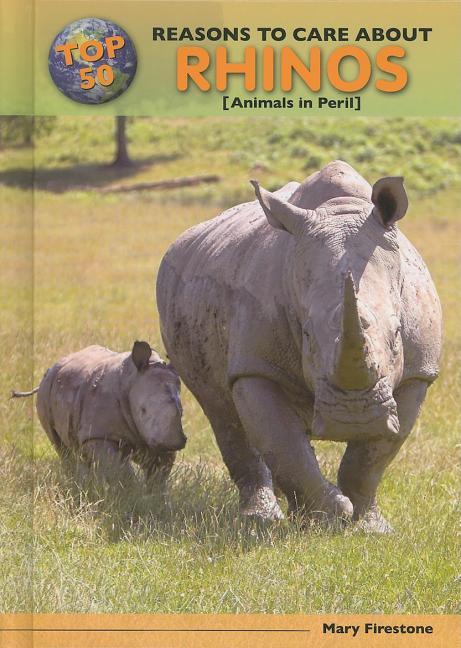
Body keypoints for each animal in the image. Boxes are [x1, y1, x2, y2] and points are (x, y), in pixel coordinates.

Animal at [12, 341, 185, 483]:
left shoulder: (157, 436)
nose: (175, 442)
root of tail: (54, 365)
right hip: (46, 389)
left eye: (182, 412)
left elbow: (159, 473)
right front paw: (130, 492)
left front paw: (152, 498)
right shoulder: (99, 433)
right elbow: (119, 469)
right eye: (143, 410)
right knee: (62, 448)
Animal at [156, 160, 442, 532]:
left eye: (397, 334)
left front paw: (370, 528)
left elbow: (372, 458)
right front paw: (326, 517)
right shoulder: (256, 366)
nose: (353, 419)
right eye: (306, 335)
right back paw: (263, 516)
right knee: (222, 413)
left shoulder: (418, 372)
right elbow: (284, 444)